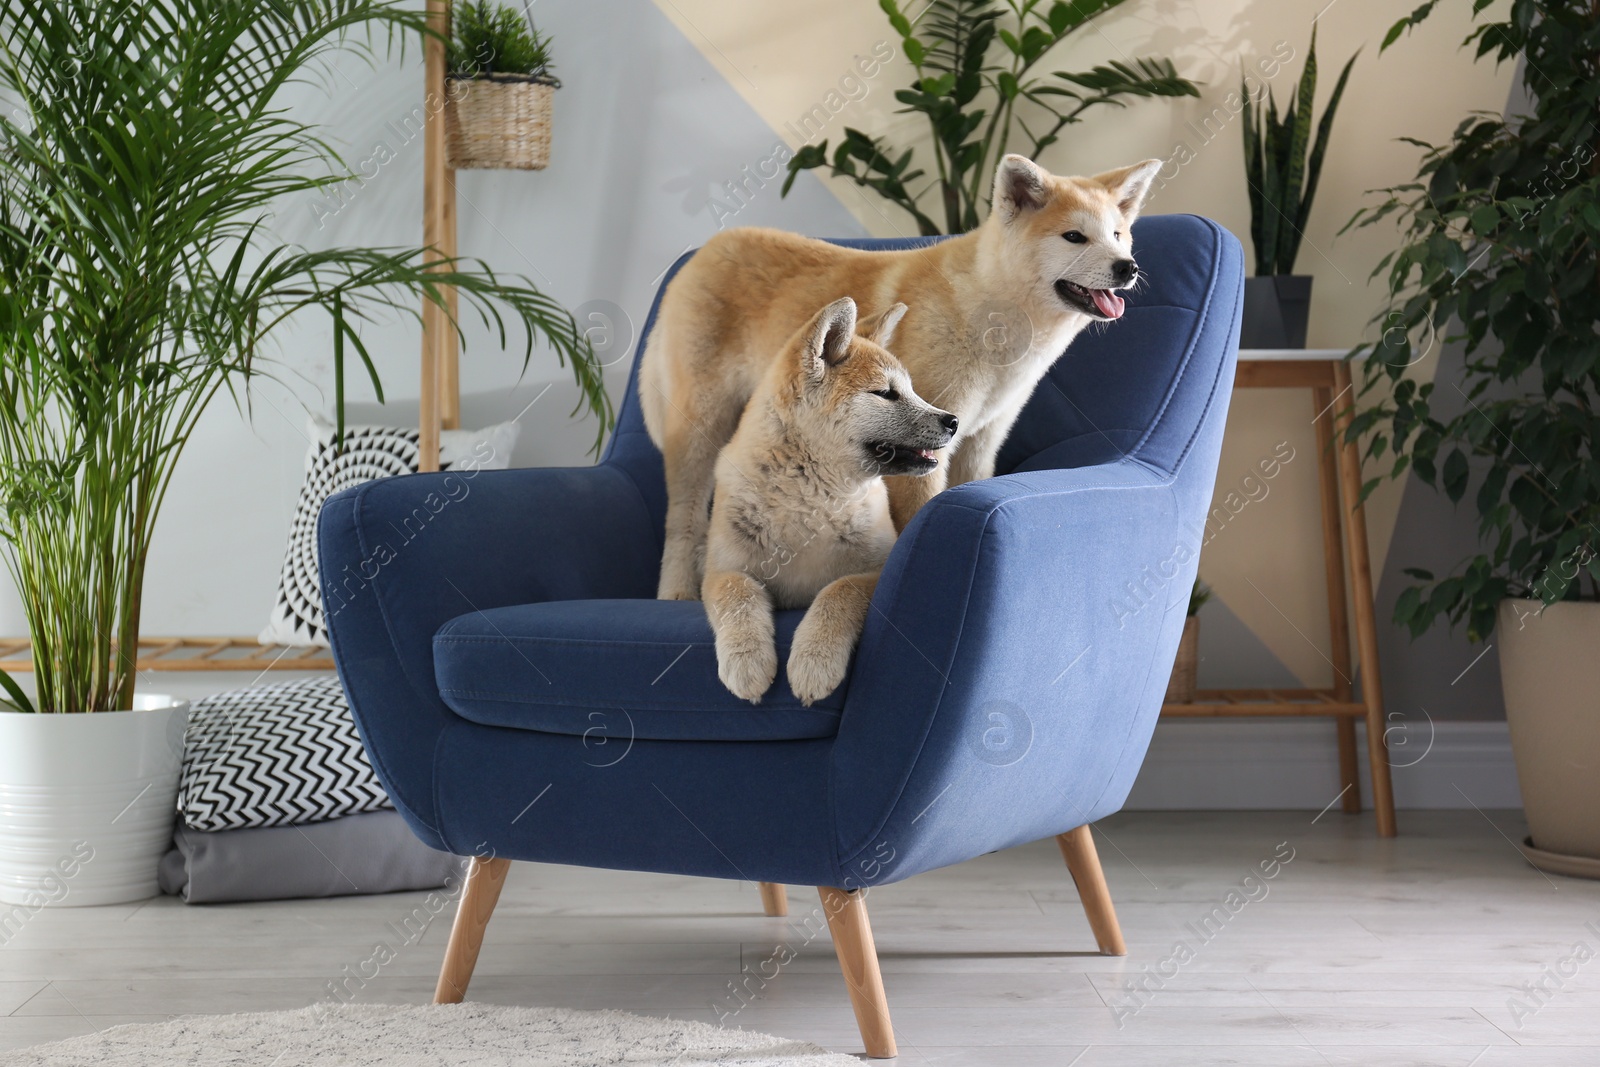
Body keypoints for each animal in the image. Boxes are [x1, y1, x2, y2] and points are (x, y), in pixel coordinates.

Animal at [640, 151, 1164, 601]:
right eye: (1074, 237)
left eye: (1118, 235)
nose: (1129, 267)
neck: (993, 328)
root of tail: (697, 256)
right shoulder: (924, 454)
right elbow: (912, 523)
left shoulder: (977, 447)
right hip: (698, 433)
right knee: (682, 522)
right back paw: (679, 594)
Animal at [707, 295, 953, 703]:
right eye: (885, 393)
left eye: (911, 390)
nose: (953, 421)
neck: (810, 502)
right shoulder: (723, 569)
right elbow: (737, 595)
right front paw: (747, 662)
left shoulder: (878, 569)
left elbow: (839, 590)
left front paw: (814, 661)